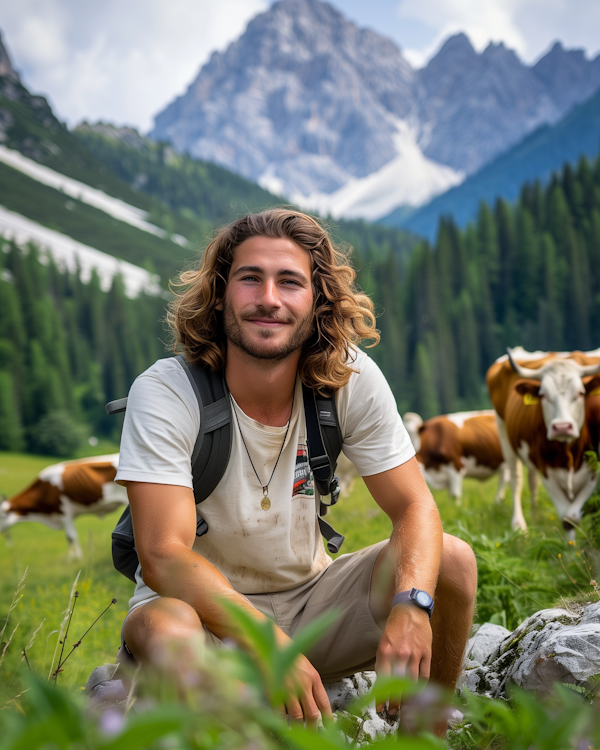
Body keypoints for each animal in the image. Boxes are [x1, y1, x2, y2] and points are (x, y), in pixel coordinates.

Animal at [486, 346, 600, 536]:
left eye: (580, 393)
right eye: (543, 395)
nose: (561, 427)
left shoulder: (593, 468)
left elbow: (572, 517)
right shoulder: (546, 467)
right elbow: (567, 519)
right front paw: (570, 544)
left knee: (532, 481)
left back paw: (535, 514)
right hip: (504, 433)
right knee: (516, 479)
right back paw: (519, 526)